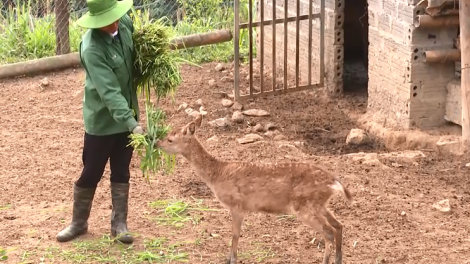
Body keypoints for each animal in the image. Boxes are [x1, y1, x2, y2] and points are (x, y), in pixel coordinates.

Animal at [154, 113, 352, 264]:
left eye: (170, 139)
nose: (156, 143)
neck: (217, 175)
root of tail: (334, 182)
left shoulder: (237, 205)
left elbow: (235, 234)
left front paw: (231, 260)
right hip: (319, 204)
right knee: (339, 226)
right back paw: (338, 260)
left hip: (304, 205)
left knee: (329, 232)